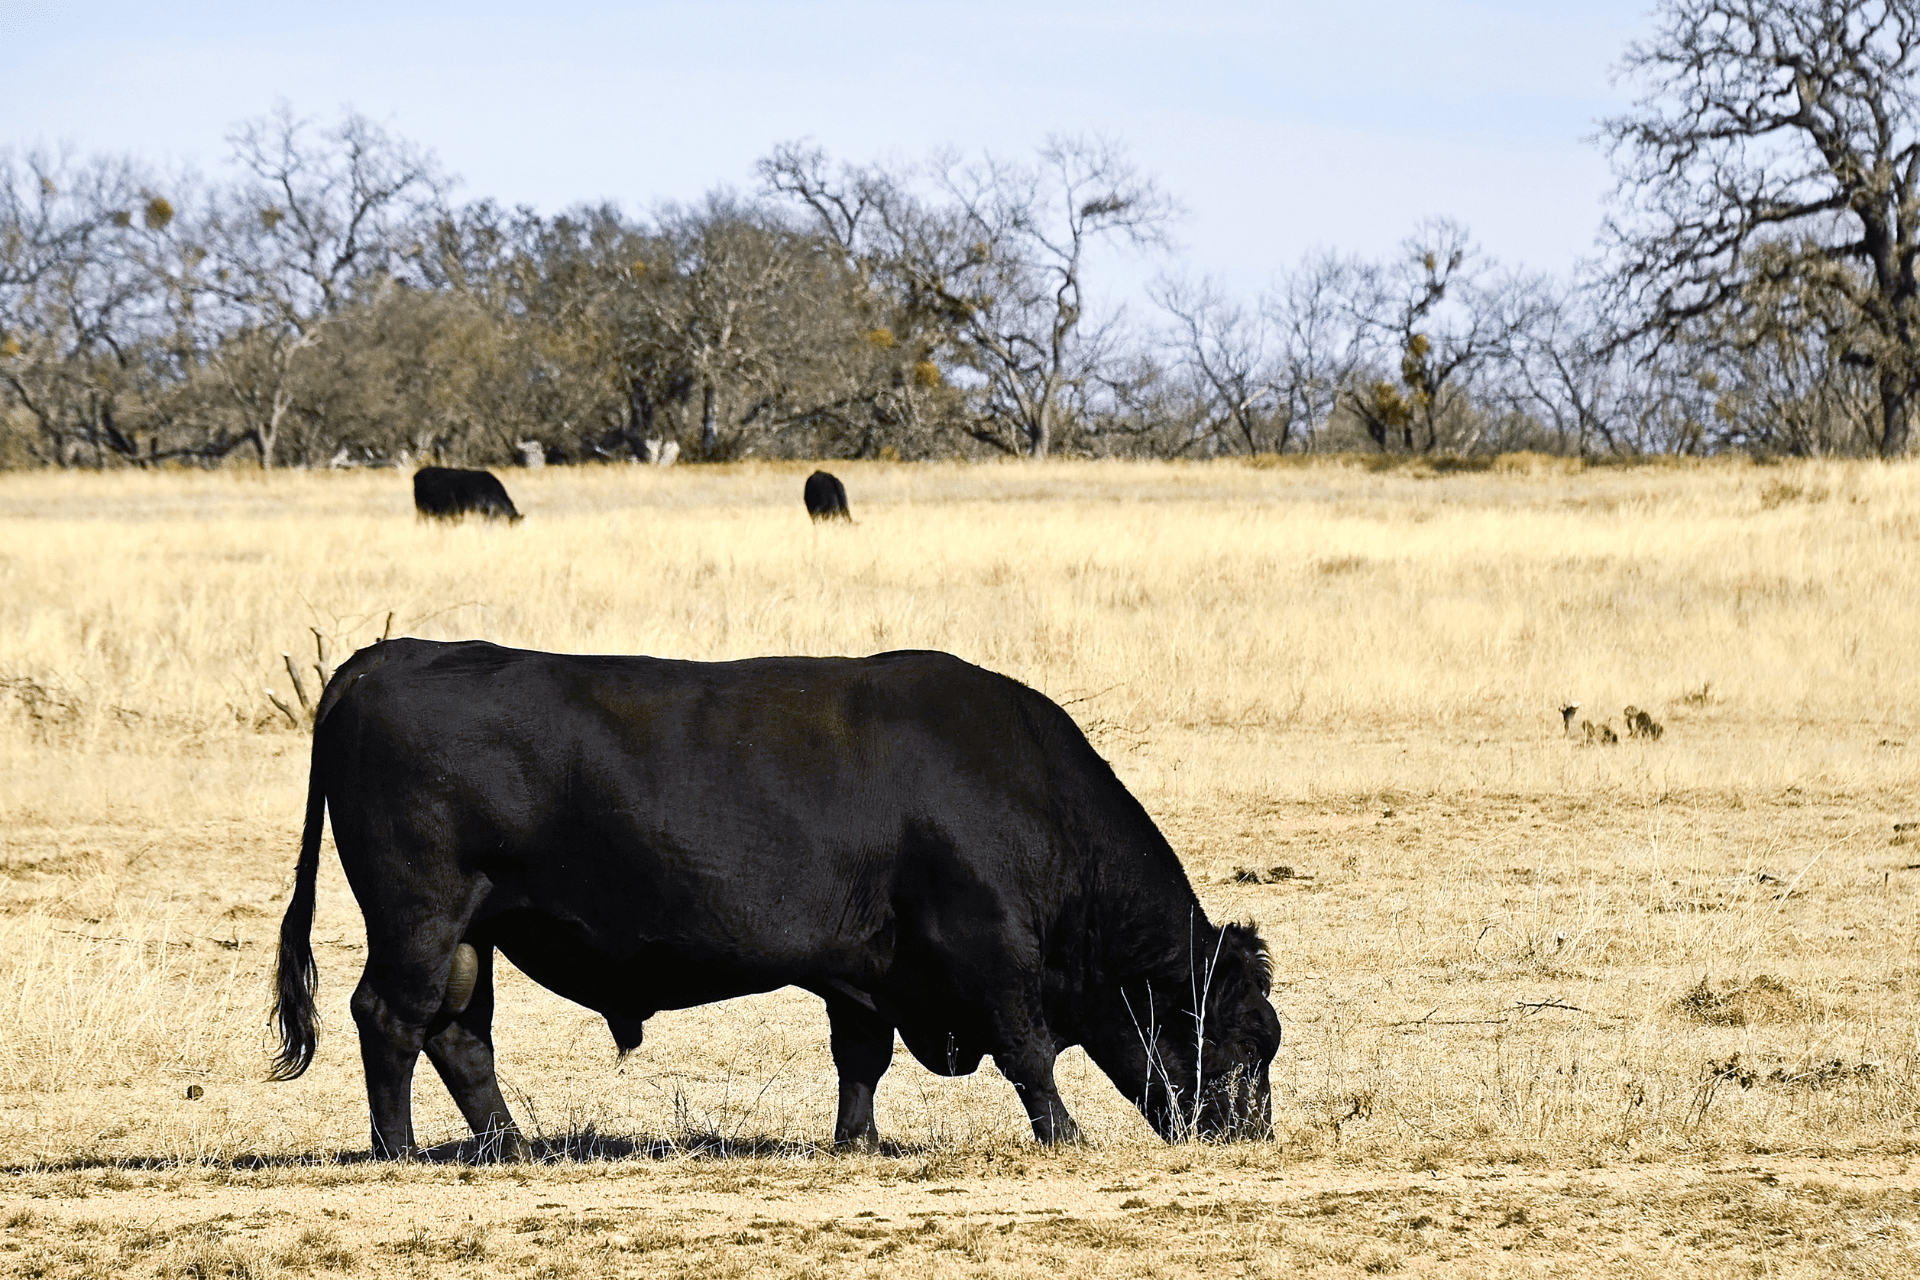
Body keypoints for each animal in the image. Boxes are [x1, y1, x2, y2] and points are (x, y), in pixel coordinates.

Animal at [271, 640, 1280, 1159]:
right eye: (1241, 1039)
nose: (1251, 1135)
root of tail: (386, 656)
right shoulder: (992, 950)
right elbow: (1028, 1053)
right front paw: (1067, 1137)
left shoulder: (867, 968)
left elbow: (861, 1060)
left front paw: (856, 1142)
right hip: (420, 916)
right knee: (390, 1019)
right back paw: (398, 1149)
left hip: (471, 933)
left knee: (458, 1036)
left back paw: (512, 1146)